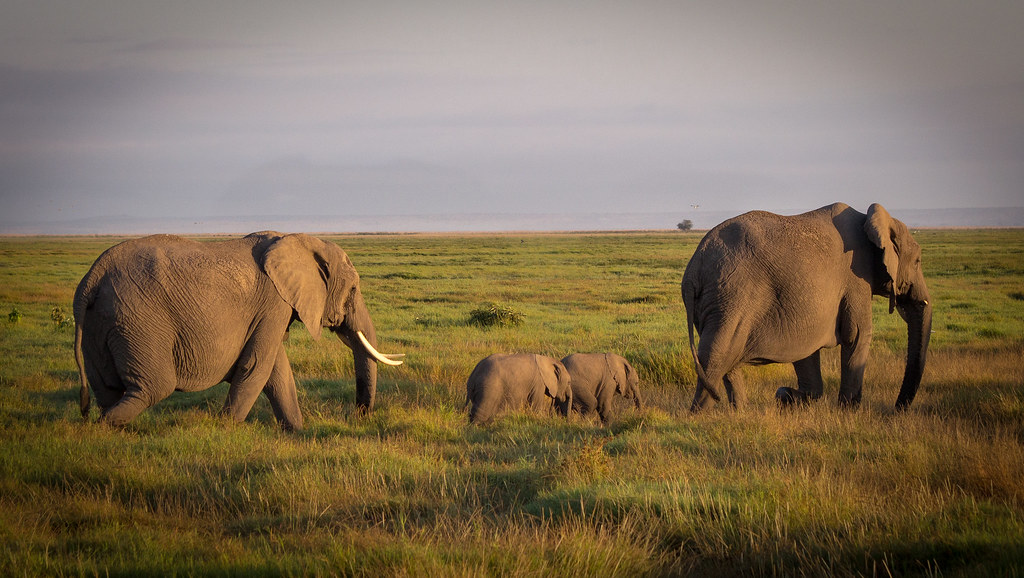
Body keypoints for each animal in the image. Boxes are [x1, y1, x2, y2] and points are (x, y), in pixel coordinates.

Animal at [73, 231, 404, 430]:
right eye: (353, 289)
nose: (359, 416)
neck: (300, 239)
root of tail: (92, 278)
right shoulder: (273, 303)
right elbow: (257, 366)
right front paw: (226, 430)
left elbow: (277, 373)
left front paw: (297, 433)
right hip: (137, 320)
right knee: (154, 387)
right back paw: (100, 430)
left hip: (101, 323)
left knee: (108, 388)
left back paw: (108, 430)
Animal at [681, 202, 932, 411]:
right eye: (918, 261)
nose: (897, 409)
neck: (870, 220)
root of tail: (693, 267)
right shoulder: (856, 277)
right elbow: (858, 335)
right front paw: (849, 412)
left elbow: (807, 347)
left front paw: (788, 396)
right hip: (732, 295)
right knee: (717, 355)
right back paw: (700, 415)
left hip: (720, 301)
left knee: (727, 358)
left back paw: (741, 413)